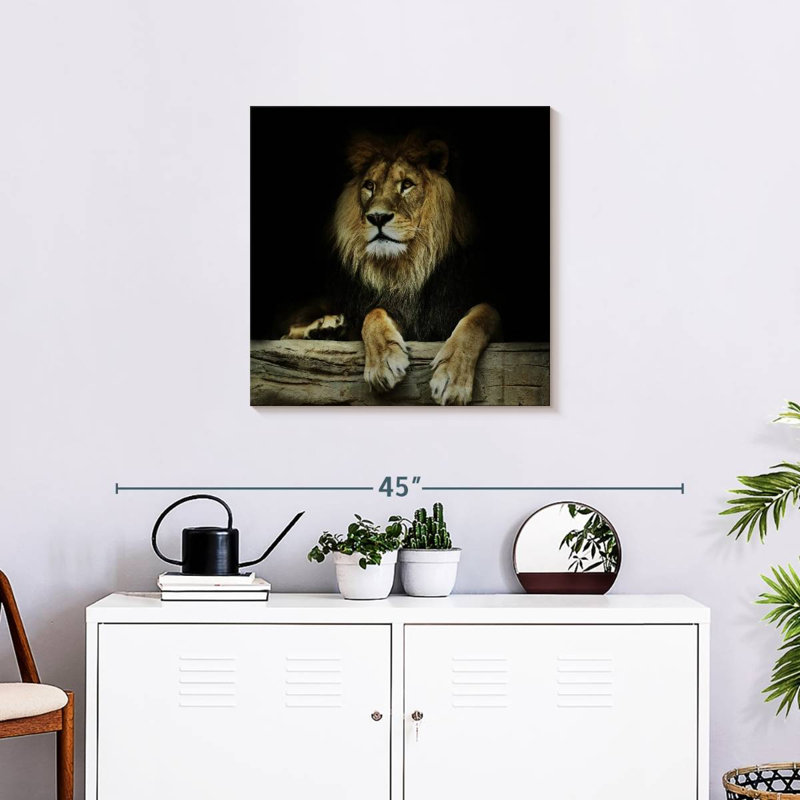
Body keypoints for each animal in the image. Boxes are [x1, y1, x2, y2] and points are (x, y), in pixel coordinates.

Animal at [284, 132, 500, 405]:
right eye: (369, 186)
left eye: (406, 184)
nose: (377, 217)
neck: (409, 267)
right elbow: (373, 313)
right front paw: (383, 363)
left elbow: (480, 317)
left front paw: (452, 378)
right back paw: (326, 327)